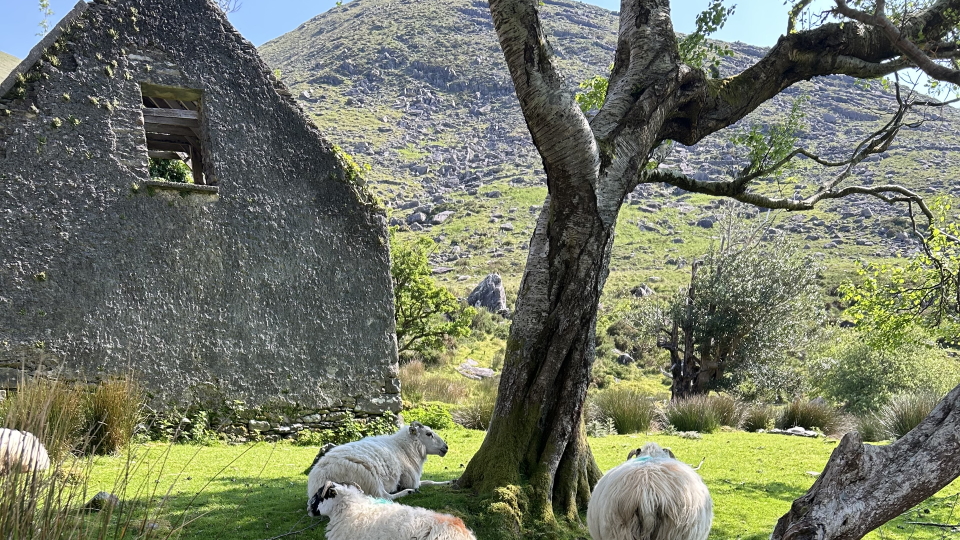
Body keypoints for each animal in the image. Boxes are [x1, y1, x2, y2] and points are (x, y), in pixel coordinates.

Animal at [306, 421, 450, 504]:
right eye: (429, 433)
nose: (446, 447)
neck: (404, 447)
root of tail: (319, 480)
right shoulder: (411, 479)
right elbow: (426, 482)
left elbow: (429, 481)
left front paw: (448, 482)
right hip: (369, 478)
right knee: (384, 496)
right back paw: (408, 492)